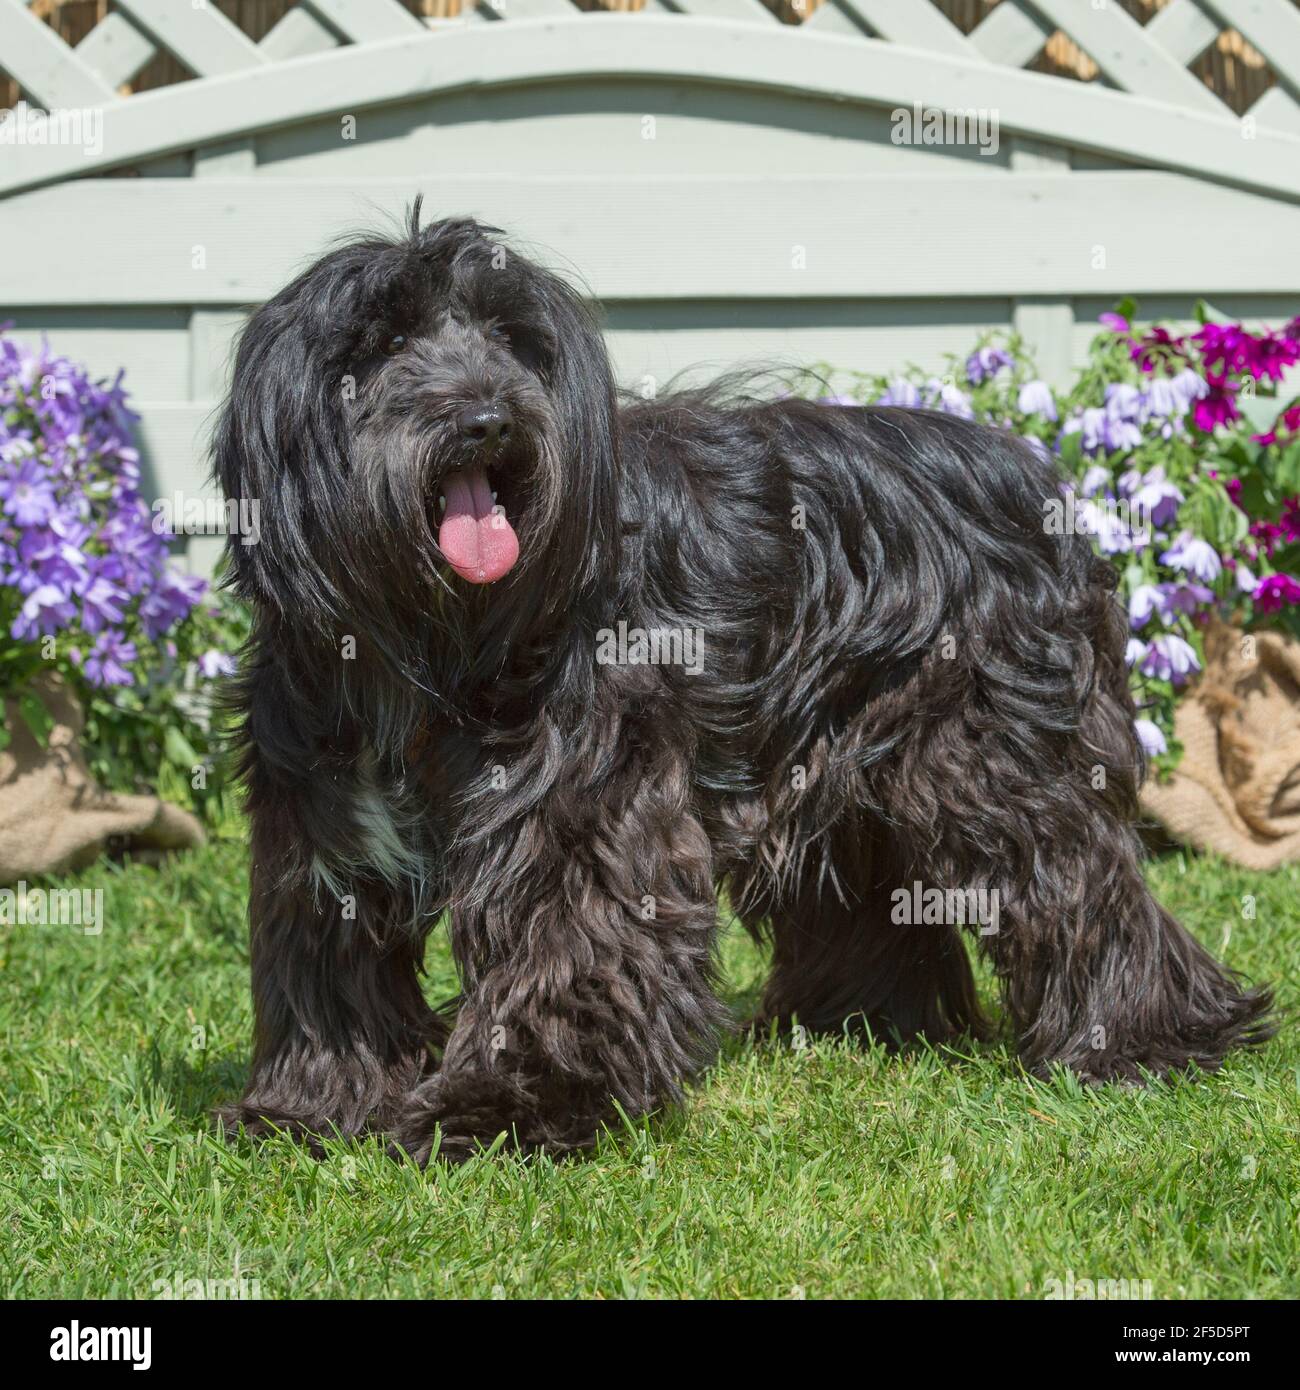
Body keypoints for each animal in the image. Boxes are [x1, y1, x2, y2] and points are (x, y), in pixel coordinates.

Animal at [214, 205, 1273, 1162]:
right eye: (385, 342)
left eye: (513, 340)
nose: (487, 418)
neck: (428, 637)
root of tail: (1031, 472)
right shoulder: (325, 825)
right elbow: (329, 965)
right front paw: (310, 1109)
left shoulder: (582, 805)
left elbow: (566, 941)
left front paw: (519, 1109)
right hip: (842, 761)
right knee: (869, 897)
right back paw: (861, 1028)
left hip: (998, 756)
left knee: (1080, 882)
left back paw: (1146, 1037)